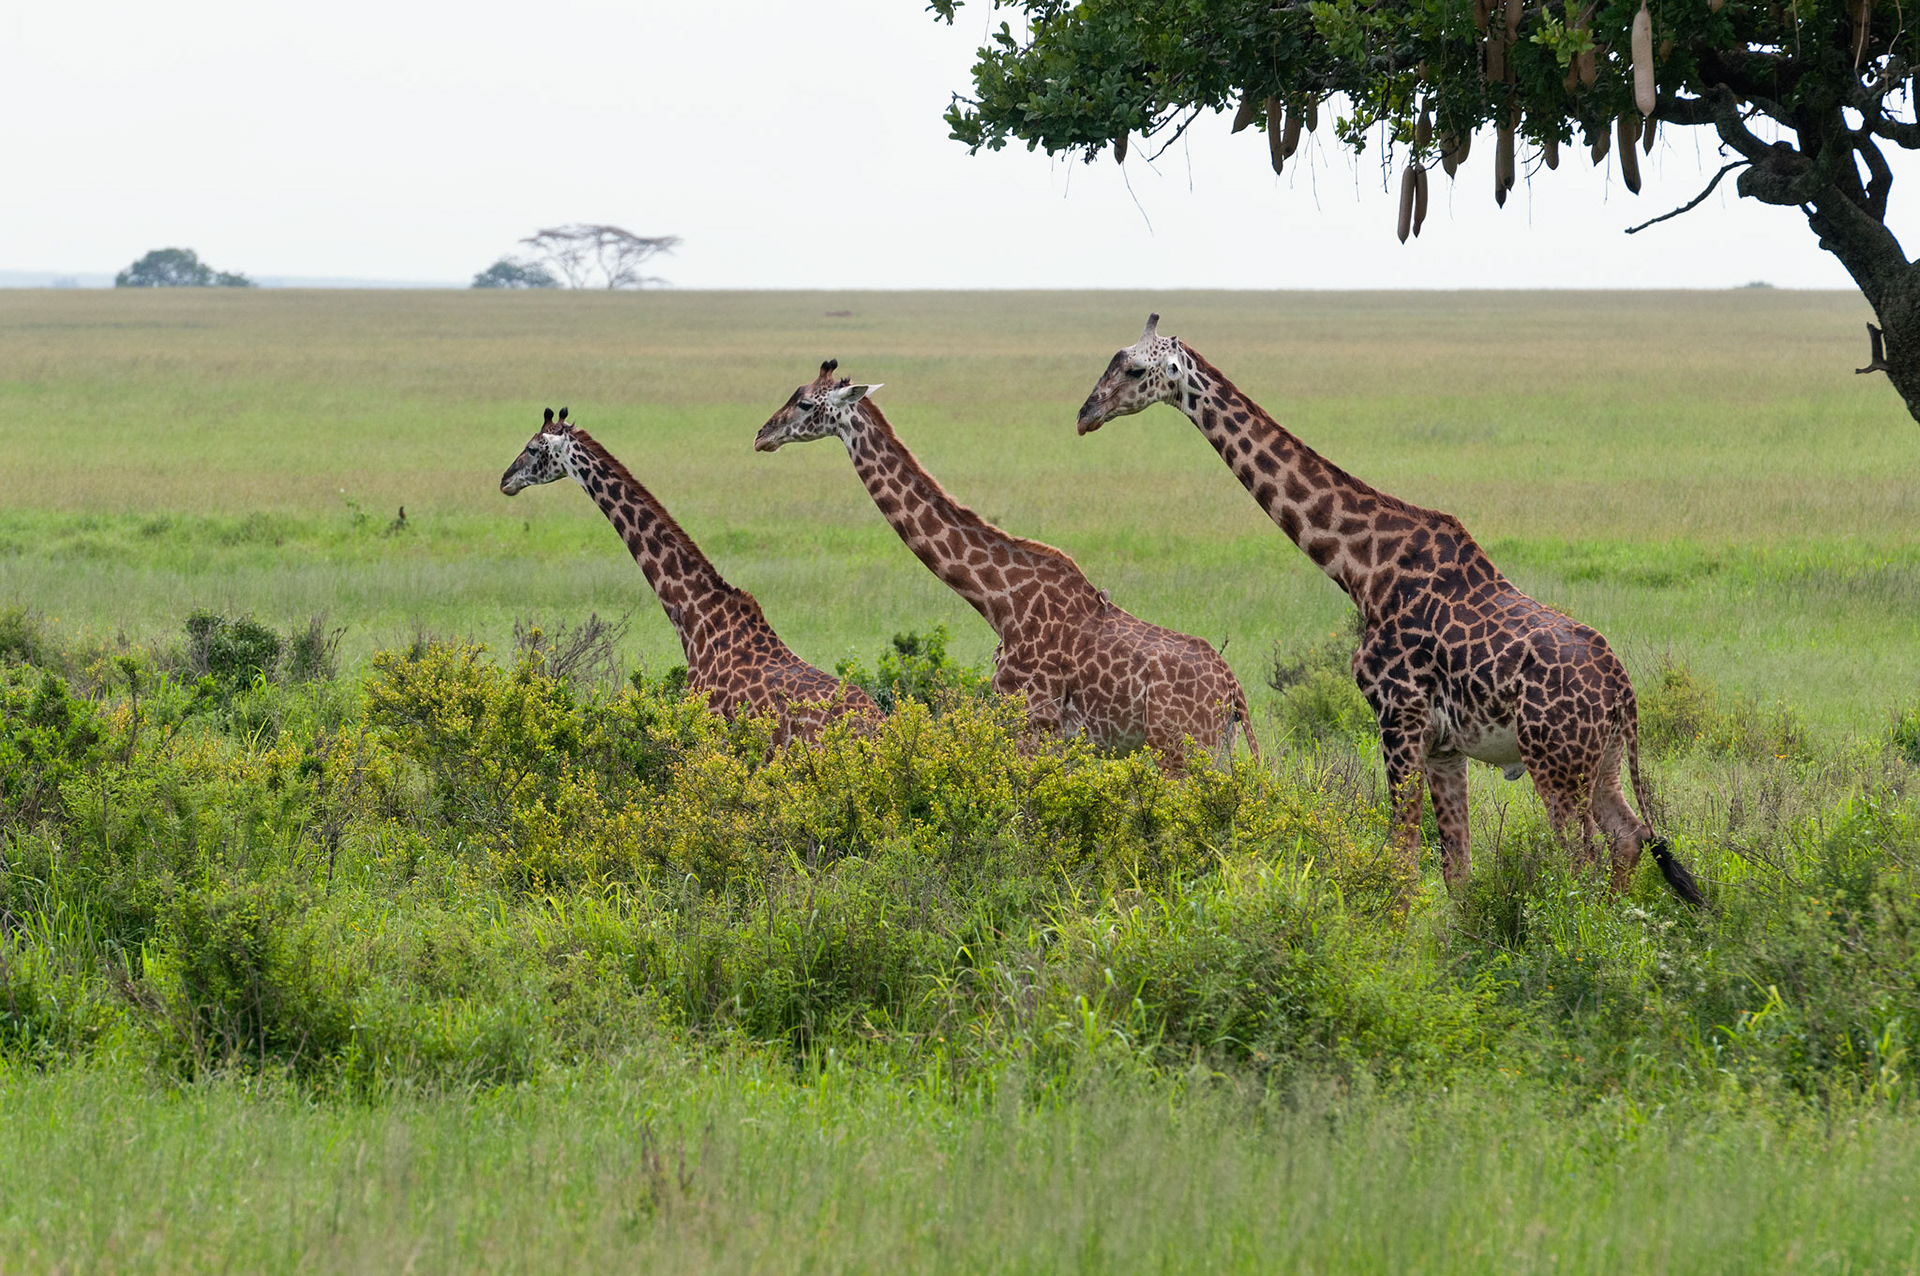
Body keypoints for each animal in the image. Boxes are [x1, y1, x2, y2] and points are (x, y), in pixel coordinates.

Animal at [754, 361, 1257, 767]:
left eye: (803, 403)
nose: (761, 435)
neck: (998, 599)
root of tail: (1234, 691)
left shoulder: (1032, 722)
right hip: (1215, 751)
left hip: (1180, 749)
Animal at [1075, 316, 1703, 905]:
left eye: (1133, 369)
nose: (1085, 414)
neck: (1361, 569)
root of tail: (1624, 691)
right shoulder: (1444, 744)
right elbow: (1456, 870)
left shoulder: (1398, 718)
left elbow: (1401, 860)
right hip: (1602, 762)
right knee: (1629, 837)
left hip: (1555, 762)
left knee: (1580, 862)